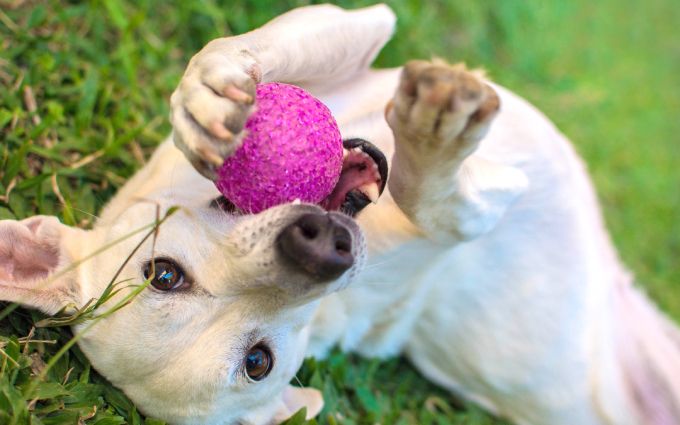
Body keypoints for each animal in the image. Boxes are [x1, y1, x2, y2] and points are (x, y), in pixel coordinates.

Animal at [1, 4, 680, 424]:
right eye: (258, 363)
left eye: (163, 273)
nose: (318, 245)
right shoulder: (464, 216)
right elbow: (434, 201)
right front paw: (436, 139)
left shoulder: (356, 30)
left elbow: (232, 49)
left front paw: (208, 92)